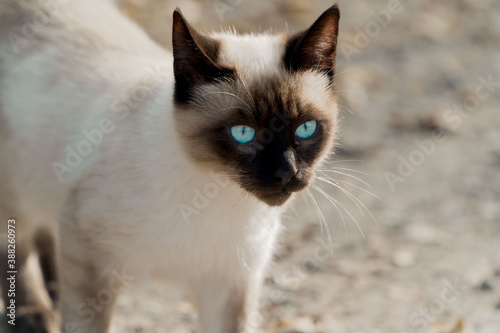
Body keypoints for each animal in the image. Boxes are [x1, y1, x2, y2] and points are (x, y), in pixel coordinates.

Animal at [0, 1, 340, 330]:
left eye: (306, 129)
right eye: (243, 134)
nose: (286, 173)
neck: (215, 198)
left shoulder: (229, 287)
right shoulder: (89, 262)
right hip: (18, 204)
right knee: (18, 249)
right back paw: (36, 319)